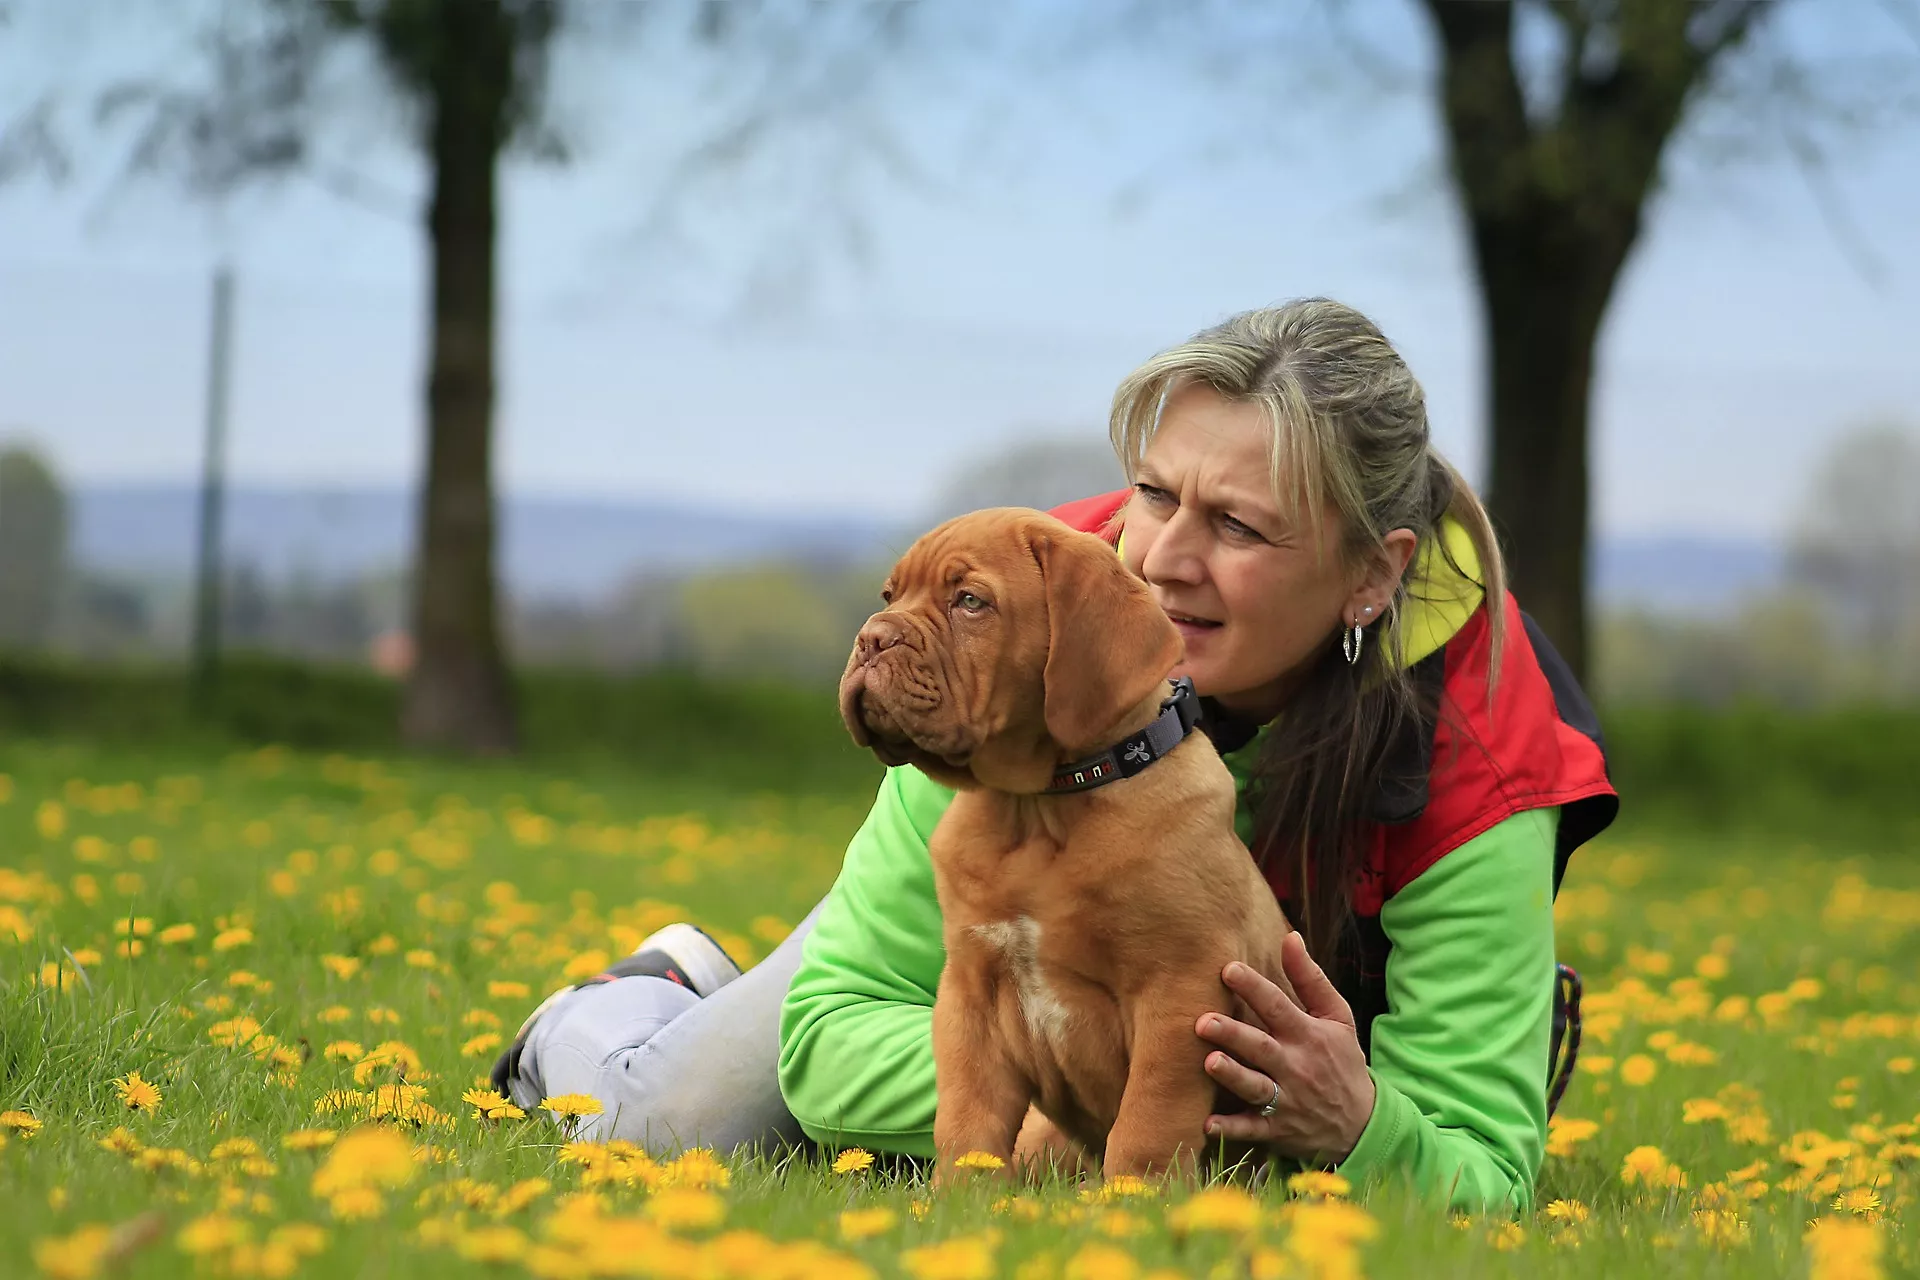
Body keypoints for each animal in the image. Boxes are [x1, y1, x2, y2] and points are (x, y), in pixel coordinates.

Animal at [837, 506, 1297, 1182]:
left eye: (969, 601)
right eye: (889, 597)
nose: (872, 638)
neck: (1038, 807)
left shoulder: (1180, 986)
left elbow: (1151, 1117)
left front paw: (1135, 1197)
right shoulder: (971, 992)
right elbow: (968, 1115)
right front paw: (960, 1196)